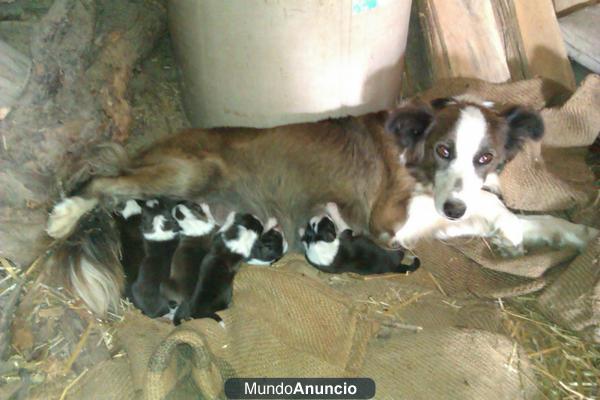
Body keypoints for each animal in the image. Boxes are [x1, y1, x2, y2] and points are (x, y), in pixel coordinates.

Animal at [44, 97, 596, 316]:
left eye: (485, 157)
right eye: (444, 151)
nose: (455, 208)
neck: (415, 154)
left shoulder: (439, 212)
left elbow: (513, 210)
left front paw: (572, 235)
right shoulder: (389, 218)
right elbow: (489, 204)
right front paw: (510, 232)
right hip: (189, 171)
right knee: (101, 181)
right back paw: (63, 215)